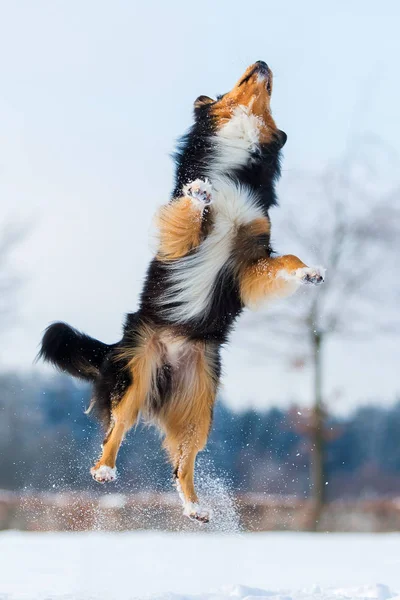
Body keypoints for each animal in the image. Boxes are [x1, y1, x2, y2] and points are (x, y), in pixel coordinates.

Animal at [39, 61, 324, 520]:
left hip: (200, 402)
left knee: (183, 461)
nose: (263, 62)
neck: (236, 157)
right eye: (235, 83)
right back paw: (104, 470)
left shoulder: (250, 261)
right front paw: (200, 192)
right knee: (116, 428)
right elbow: (189, 213)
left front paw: (311, 273)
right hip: (136, 370)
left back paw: (194, 507)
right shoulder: (181, 236)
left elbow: (288, 260)